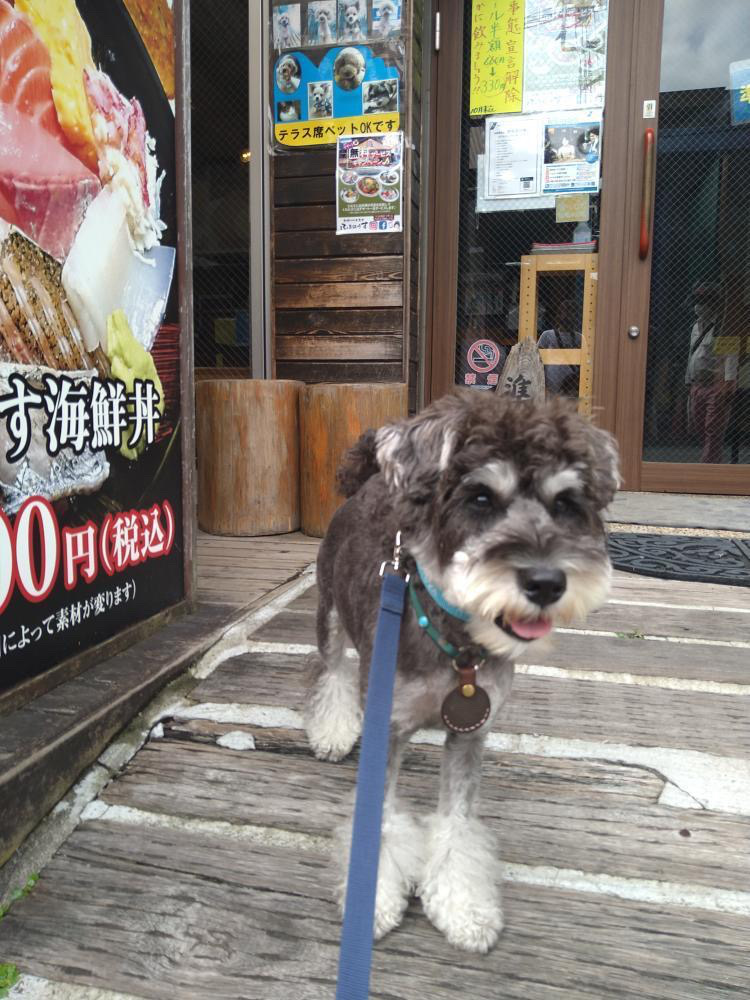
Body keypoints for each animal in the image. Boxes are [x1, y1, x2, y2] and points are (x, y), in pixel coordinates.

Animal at [302, 388, 620, 952]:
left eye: (564, 503)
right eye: (480, 499)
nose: (546, 583)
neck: (457, 643)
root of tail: (369, 485)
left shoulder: (472, 733)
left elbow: (457, 823)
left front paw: (464, 907)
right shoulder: (389, 726)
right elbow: (380, 819)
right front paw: (373, 903)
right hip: (330, 614)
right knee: (333, 670)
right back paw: (334, 730)